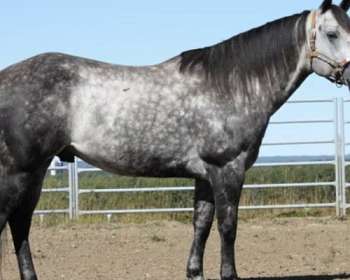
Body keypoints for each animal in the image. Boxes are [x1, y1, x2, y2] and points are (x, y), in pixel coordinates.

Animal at [0, 0, 350, 280]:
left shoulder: (206, 175)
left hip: (36, 173)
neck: (231, 87)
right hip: (19, 172)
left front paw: (195, 272)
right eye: (333, 33)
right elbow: (228, 226)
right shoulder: (227, 170)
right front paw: (229, 274)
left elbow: (201, 224)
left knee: (20, 224)